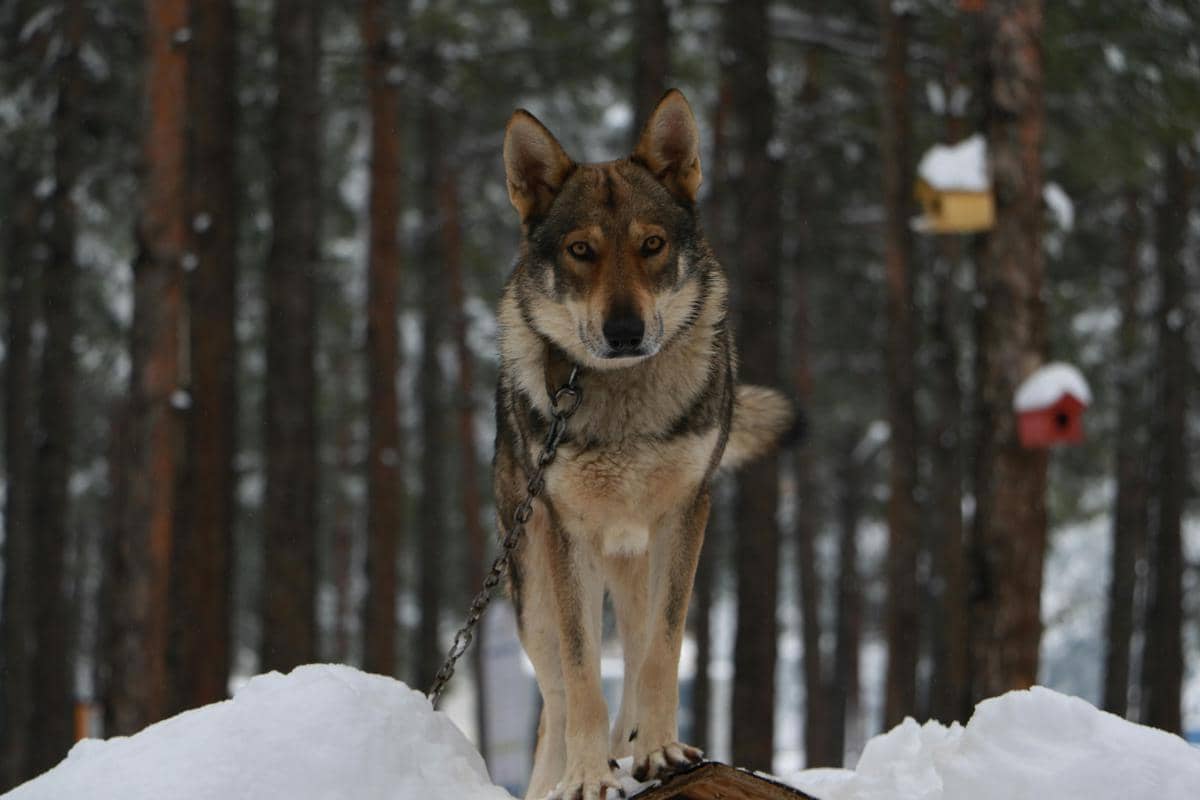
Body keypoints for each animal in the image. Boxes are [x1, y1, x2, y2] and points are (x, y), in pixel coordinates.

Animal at [493, 89, 793, 800]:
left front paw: (658, 750)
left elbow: (663, 649)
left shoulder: (685, 517)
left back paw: (628, 746)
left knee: (630, 658)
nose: (625, 330)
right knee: (554, 698)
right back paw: (560, 776)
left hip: (635, 562)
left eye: (652, 245)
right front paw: (584, 776)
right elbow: (581, 676)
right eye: (581, 250)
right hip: (532, 590)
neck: (626, 406)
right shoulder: (565, 535)